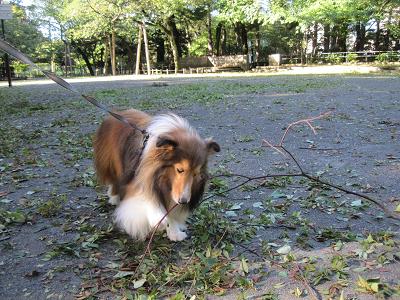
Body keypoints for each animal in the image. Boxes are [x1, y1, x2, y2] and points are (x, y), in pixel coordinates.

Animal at [92, 110, 220, 241]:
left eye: (195, 174)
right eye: (180, 170)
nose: (184, 201)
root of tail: (118, 111)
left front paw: (174, 232)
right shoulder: (141, 178)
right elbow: (148, 198)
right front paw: (158, 220)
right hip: (112, 163)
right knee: (113, 180)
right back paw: (114, 197)